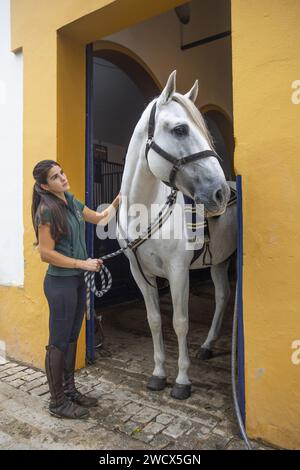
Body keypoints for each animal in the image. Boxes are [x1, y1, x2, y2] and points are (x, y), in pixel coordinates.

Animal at [117, 71, 237, 398]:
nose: (219, 194)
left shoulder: (178, 272)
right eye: (181, 129)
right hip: (218, 262)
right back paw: (207, 345)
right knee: (222, 296)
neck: (143, 211)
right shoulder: (140, 273)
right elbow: (155, 321)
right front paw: (159, 373)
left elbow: (180, 322)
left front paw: (182, 380)